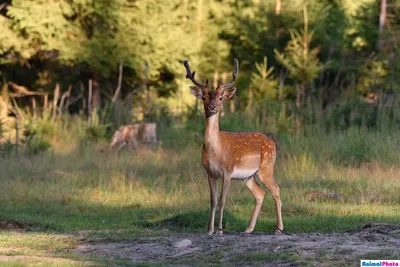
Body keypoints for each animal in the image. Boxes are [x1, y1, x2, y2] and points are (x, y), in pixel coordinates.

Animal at [184, 59, 284, 237]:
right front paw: (209, 230)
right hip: (248, 176)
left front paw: (219, 231)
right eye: (204, 97)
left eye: (221, 97)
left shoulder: (228, 171)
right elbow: (213, 201)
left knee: (276, 190)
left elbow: (223, 200)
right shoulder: (210, 173)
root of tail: (272, 142)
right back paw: (248, 228)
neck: (216, 151)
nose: (212, 107)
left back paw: (279, 229)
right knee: (260, 193)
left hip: (266, 167)